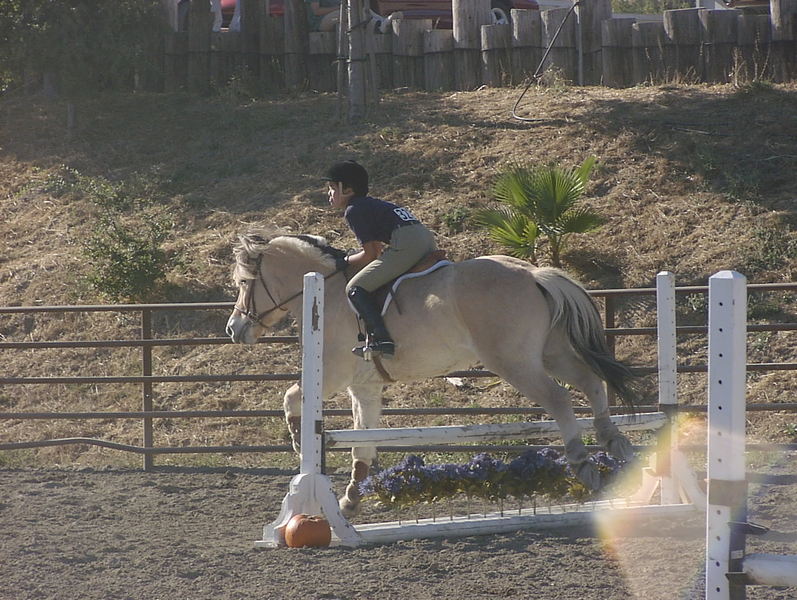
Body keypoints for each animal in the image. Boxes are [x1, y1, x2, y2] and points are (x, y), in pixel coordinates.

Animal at [225, 232, 638, 518]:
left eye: (243, 284)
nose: (234, 329)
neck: (323, 291)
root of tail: (534, 272)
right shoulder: (364, 387)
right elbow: (362, 446)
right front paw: (350, 501)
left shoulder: (330, 377)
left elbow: (292, 398)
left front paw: (299, 443)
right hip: (550, 354)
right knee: (591, 383)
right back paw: (615, 444)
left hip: (515, 363)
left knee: (559, 398)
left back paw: (584, 465)